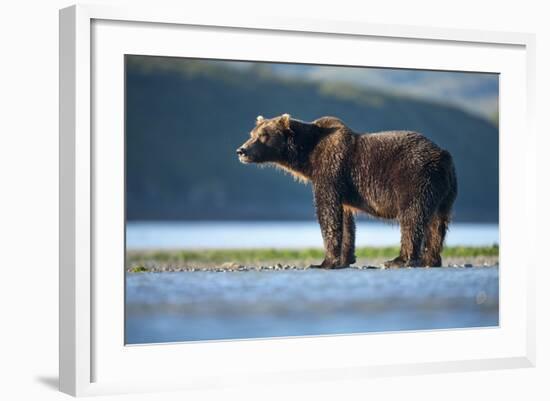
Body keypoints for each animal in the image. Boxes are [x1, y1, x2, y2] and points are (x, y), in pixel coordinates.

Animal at [239, 114, 460, 268]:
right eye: (252, 134)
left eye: (264, 136)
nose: (241, 150)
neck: (308, 157)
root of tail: (444, 156)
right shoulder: (342, 187)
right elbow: (345, 220)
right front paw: (345, 258)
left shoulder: (330, 170)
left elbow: (327, 212)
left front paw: (324, 262)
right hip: (444, 191)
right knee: (438, 223)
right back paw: (431, 259)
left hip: (414, 178)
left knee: (412, 218)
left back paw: (399, 259)